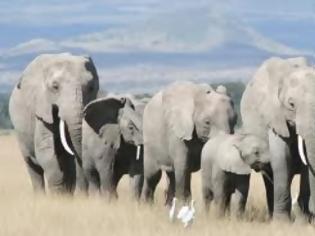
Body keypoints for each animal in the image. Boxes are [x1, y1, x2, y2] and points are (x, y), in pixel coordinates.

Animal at [8, 53, 99, 194]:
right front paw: (57, 194)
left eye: (91, 87)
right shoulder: (41, 107)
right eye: (55, 87)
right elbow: (45, 150)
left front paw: (65, 194)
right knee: (33, 166)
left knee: (67, 163)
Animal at [241, 56, 314, 220]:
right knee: (269, 179)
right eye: (291, 104)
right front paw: (282, 222)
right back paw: (272, 217)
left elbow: (306, 166)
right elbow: (281, 159)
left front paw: (304, 221)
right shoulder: (274, 114)